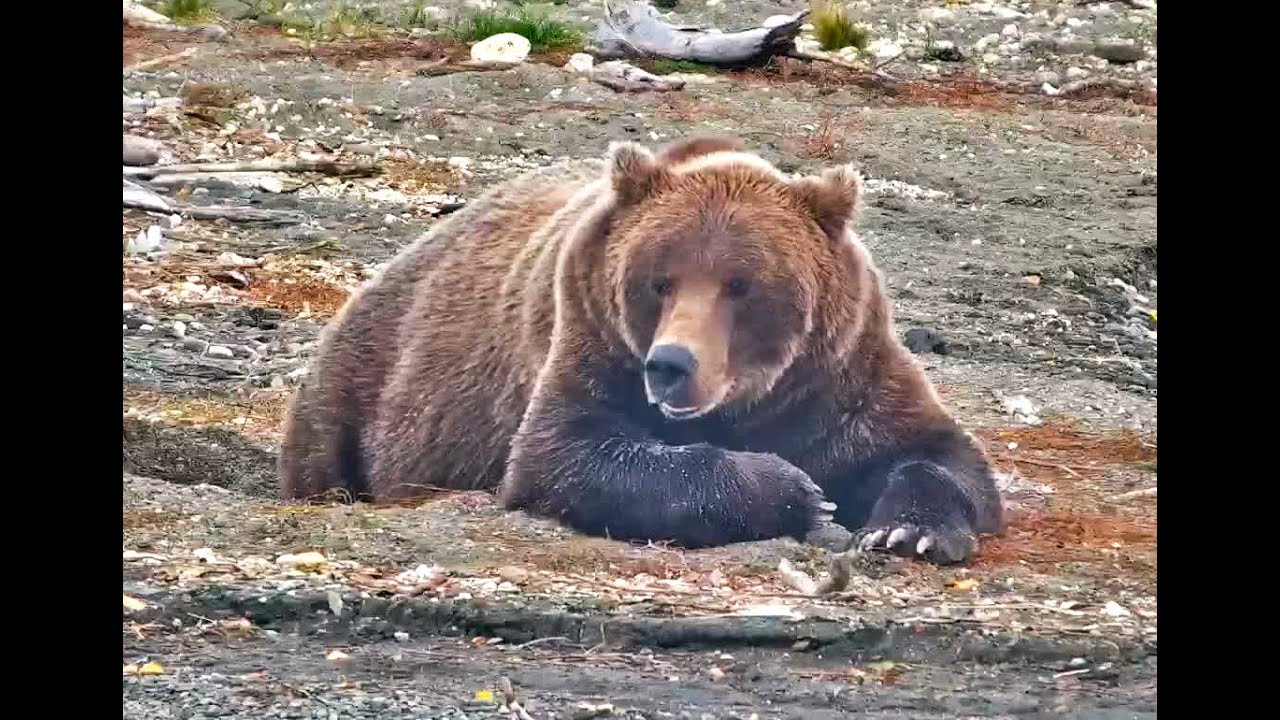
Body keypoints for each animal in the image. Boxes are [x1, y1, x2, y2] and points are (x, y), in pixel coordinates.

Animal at [280, 136, 1004, 564]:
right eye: (661, 280)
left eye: (742, 285)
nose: (671, 365)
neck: (750, 402)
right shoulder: (588, 338)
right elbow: (568, 456)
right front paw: (798, 491)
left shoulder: (842, 372)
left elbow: (936, 453)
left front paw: (909, 529)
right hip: (368, 379)